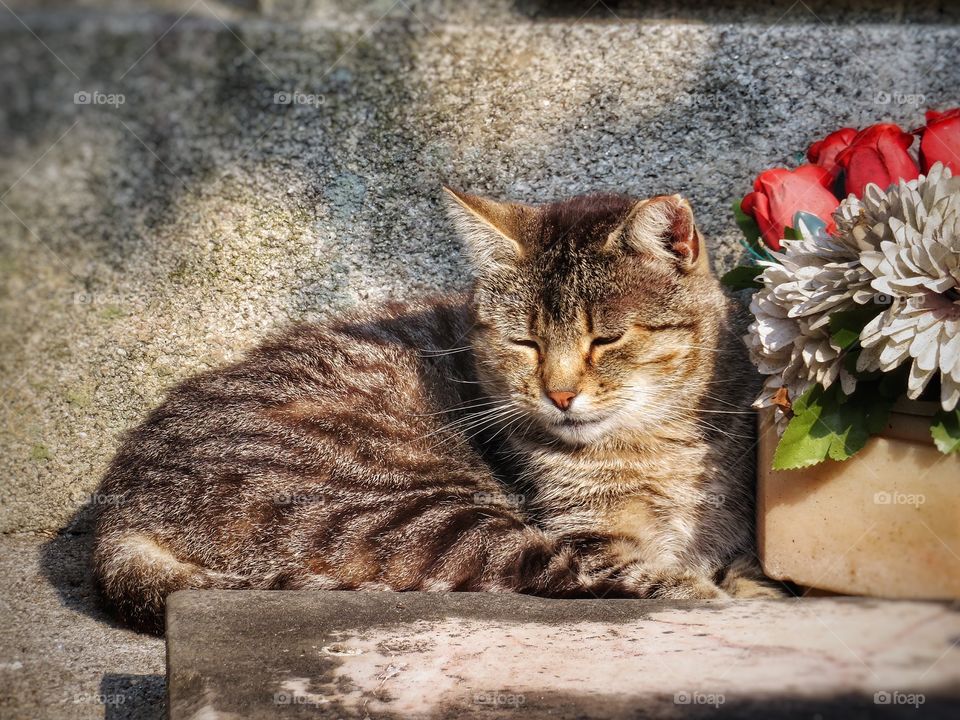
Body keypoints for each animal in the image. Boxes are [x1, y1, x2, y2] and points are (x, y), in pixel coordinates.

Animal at [92, 188, 780, 632]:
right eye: (525, 342)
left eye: (605, 339)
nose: (559, 394)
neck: (655, 444)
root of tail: (119, 509)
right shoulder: (589, 528)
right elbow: (628, 563)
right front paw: (718, 590)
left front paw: (754, 580)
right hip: (416, 507)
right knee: (541, 567)